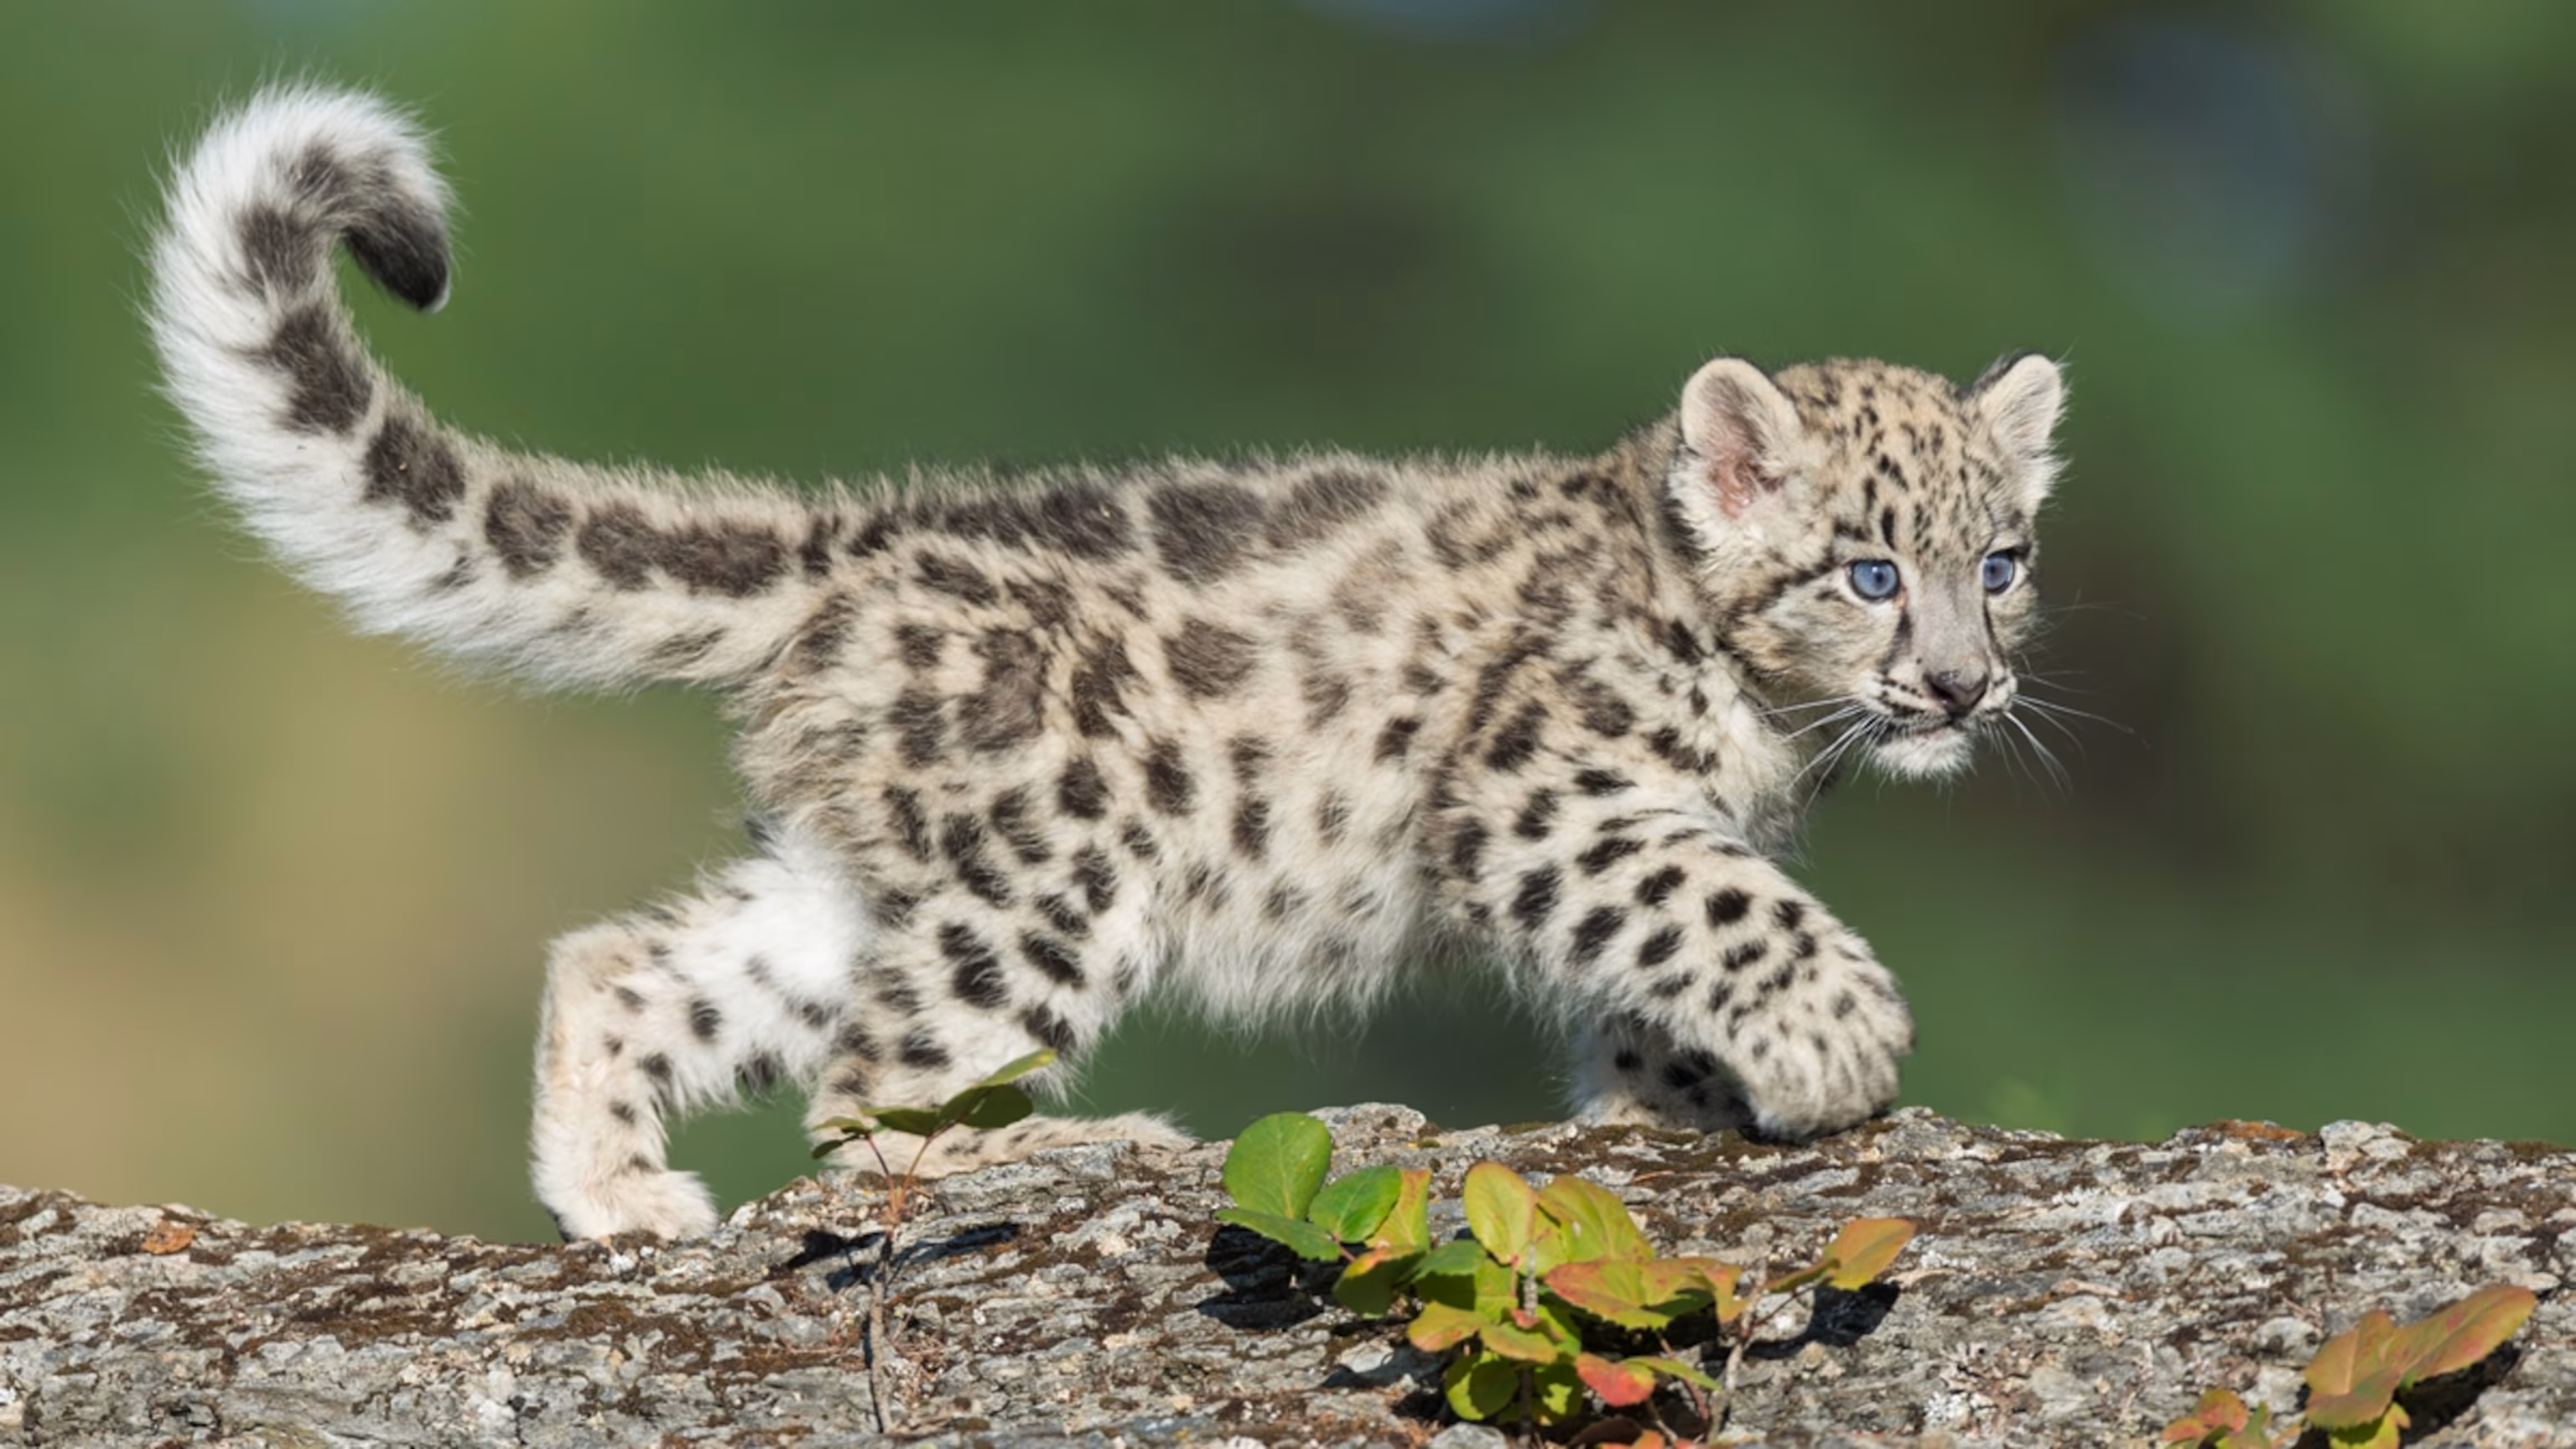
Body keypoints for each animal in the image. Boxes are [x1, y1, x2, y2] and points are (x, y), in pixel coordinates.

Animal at [149, 88, 2069, 1239]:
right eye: (1870, 571)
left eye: (2002, 563)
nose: (1964, 687)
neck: (1764, 722)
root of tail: (852, 541)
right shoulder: (1552, 800)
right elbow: (1718, 907)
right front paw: (1838, 1040)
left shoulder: (1627, 824)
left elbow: (1656, 972)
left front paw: (1673, 1103)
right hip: (1053, 867)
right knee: (876, 1101)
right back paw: (1088, 1143)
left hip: (873, 878)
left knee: (631, 967)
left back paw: (621, 1198)